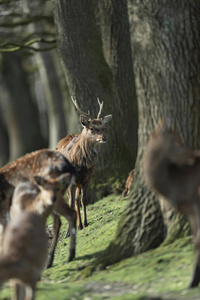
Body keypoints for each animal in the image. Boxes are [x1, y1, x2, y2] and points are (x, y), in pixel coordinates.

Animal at [56, 97, 112, 231]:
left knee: (77, 199)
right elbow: (71, 202)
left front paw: (85, 223)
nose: (104, 138)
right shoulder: (71, 179)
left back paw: (80, 224)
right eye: (92, 128)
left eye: (104, 127)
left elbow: (83, 200)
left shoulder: (88, 177)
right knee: (71, 200)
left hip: (79, 182)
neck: (80, 164)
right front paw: (71, 229)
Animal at [143, 118, 200, 288]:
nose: (193, 156)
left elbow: (198, 240)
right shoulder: (191, 210)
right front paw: (192, 281)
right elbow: (195, 241)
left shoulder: (197, 204)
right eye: (177, 141)